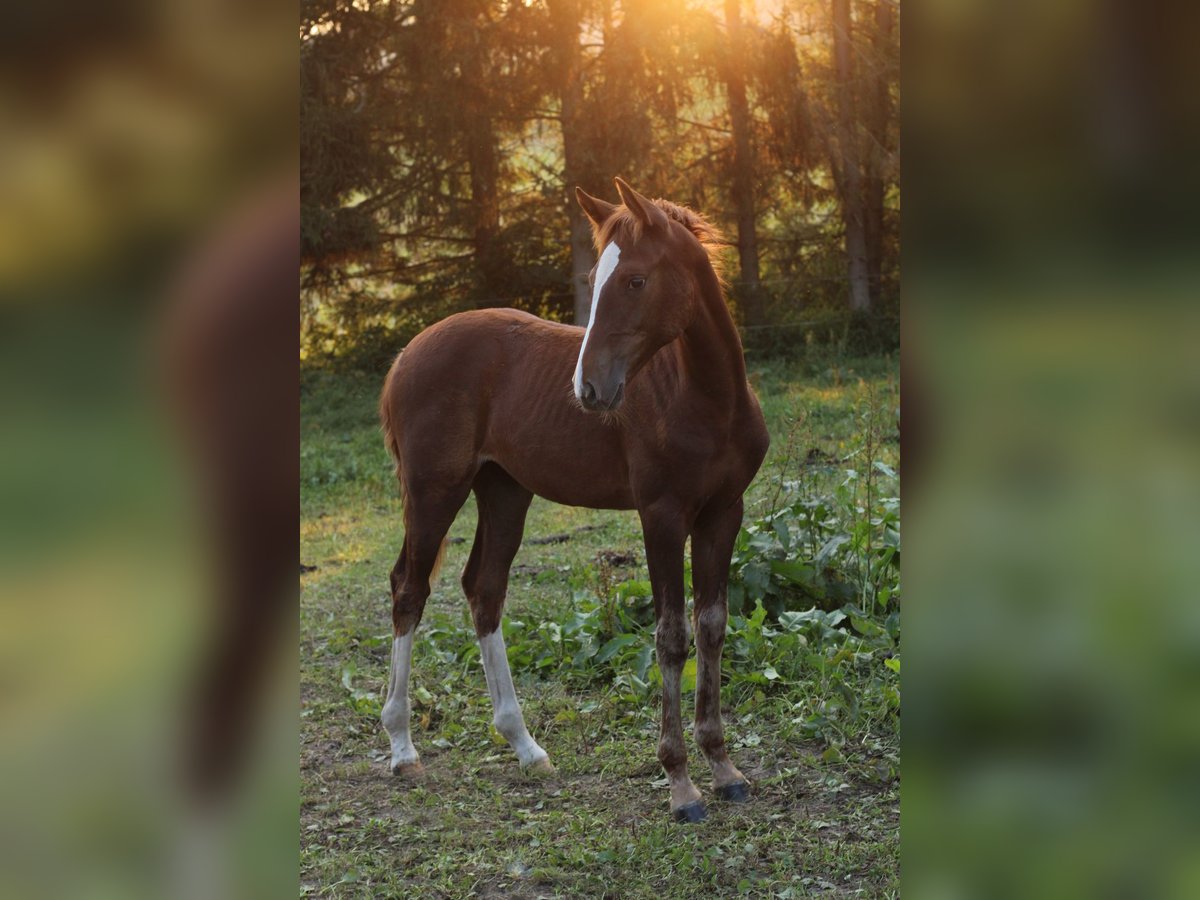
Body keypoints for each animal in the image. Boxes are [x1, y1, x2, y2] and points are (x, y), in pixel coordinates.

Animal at [376, 177, 768, 825]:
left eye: (635, 280)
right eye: (594, 278)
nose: (588, 389)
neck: (706, 398)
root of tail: (408, 354)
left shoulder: (723, 514)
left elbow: (711, 626)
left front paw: (724, 769)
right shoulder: (661, 517)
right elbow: (671, 636)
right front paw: (681, 785)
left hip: (504, 491)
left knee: (484, 590)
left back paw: (525, 747)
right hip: (434, 491)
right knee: (410, 589)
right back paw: (404, 748)